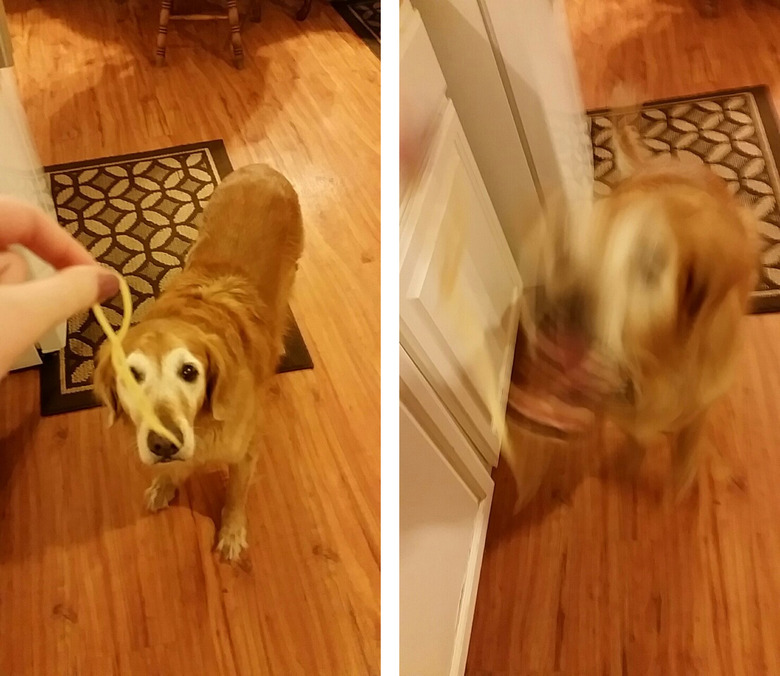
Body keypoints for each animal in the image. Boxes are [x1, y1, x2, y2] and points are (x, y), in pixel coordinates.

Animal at [93, 164, 304, 560]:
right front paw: (164, 484)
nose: (163, 444)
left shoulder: (245, 453)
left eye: (189, 371)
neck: (202, 426)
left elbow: (236, 495)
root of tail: (263, 168)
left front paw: (232, 533)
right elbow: (173, 470)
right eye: (131, 376)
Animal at [516, 104, 760, 496]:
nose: (555, 312)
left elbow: (685, 450)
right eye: (576, 247)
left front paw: (680, 487)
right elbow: (635, 441)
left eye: (650, 264)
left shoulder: (698, 410)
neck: (653, 365)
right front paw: (630, 469)